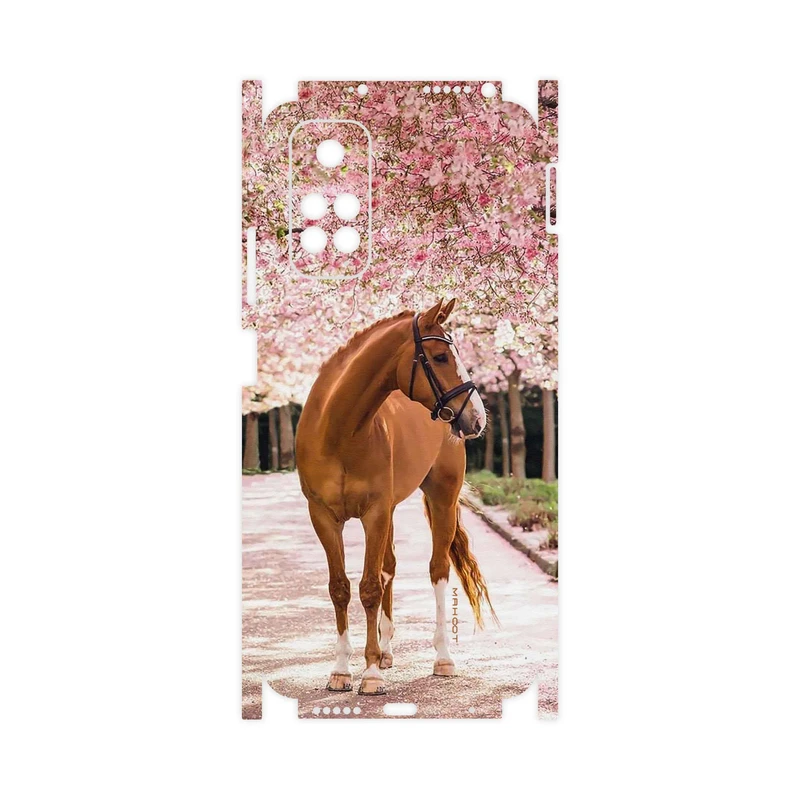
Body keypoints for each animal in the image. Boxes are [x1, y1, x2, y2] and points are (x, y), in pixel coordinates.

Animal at [295, 298, 495, 695]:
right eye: (440, 356)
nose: (477, 418)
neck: (338, 431)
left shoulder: (374, 513)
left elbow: (370, 588)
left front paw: (370, 674)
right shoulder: (324, 517)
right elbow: (340, 588)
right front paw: (341, 670)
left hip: (441, 498)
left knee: (437, 570)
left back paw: (442, 658)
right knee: (389, 567)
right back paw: (386, 651)